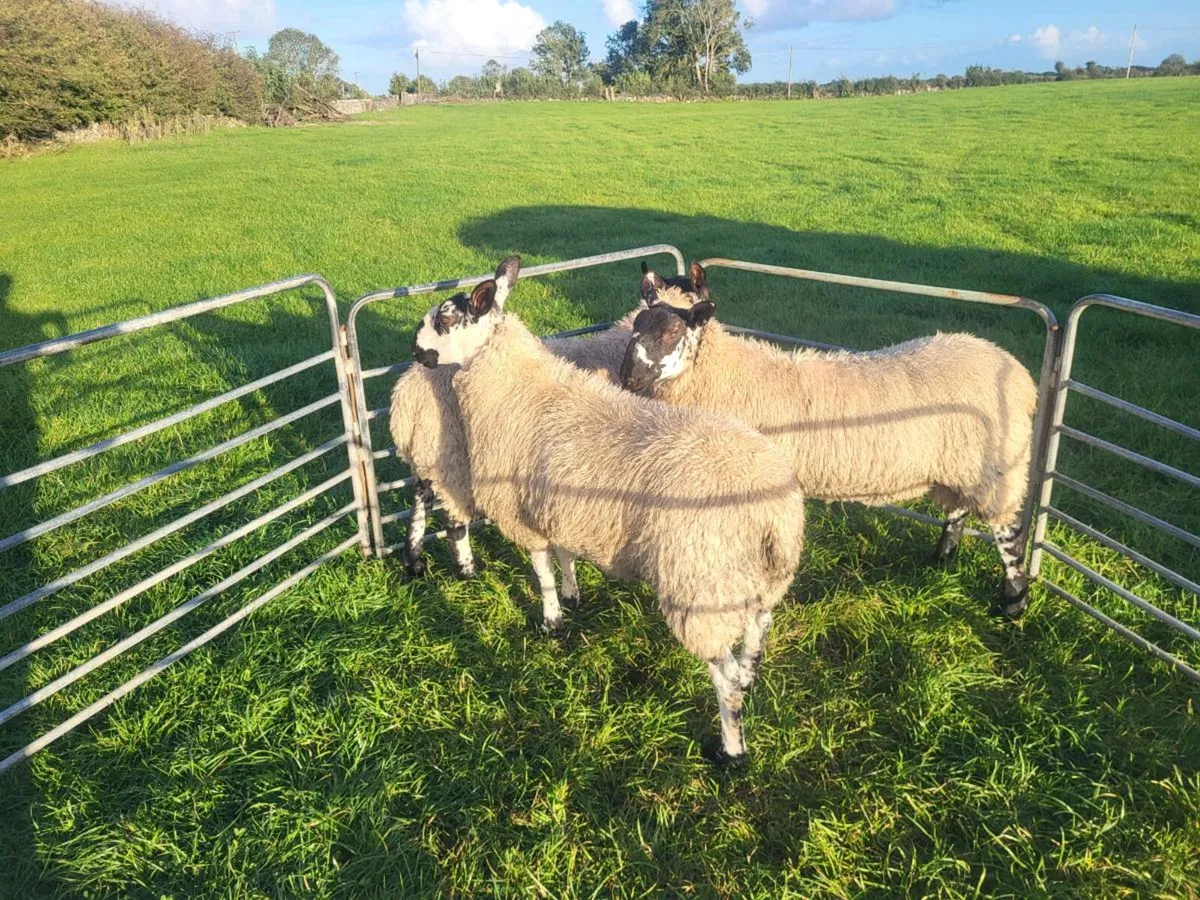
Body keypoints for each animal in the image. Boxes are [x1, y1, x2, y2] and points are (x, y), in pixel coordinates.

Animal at [389, 264, 703, 577]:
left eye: (444, 317)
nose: (415, 349)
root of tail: (406, 394)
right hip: (451, 463)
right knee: (453, 521)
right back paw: (466, 570)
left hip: (431, 459)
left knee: (421, 499)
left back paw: (414, 560)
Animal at [621, 265, 1039, 618]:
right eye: (636, 325)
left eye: (673, 332)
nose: (628, 378)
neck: (733, 377)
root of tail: (1019, 375)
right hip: (966, 466)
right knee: (959, 510)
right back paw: (942, 559)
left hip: (999, 469)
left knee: (1012, 540)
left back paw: (1012, 606)